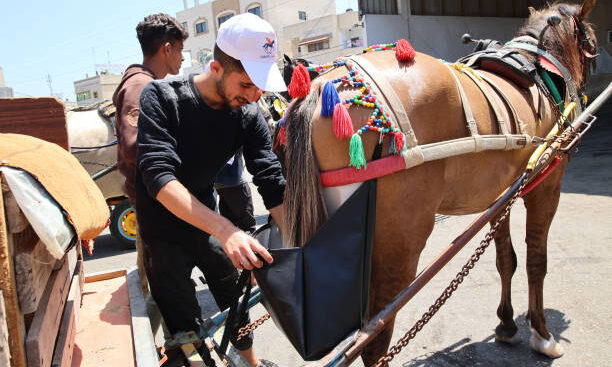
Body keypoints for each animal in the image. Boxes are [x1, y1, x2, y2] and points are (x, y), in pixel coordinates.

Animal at [280, 1, 596, 366]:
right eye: (590, 40)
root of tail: (319, 90)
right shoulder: (546, 185)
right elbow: (536, 260)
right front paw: (542, 334)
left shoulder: (500, 194)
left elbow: (506, 259)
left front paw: (506, 324)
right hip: (400, 242)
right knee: (374, 335)